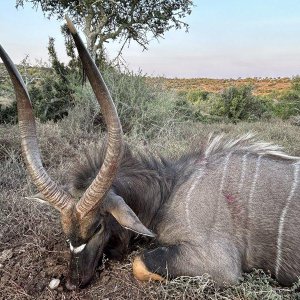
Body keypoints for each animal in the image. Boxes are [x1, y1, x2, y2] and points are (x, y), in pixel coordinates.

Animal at [0, 17, 300, 290]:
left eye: (97, 227)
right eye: (65, 231)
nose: (73, 282)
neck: (171, 189)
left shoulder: (220, 265)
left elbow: (139, 263)